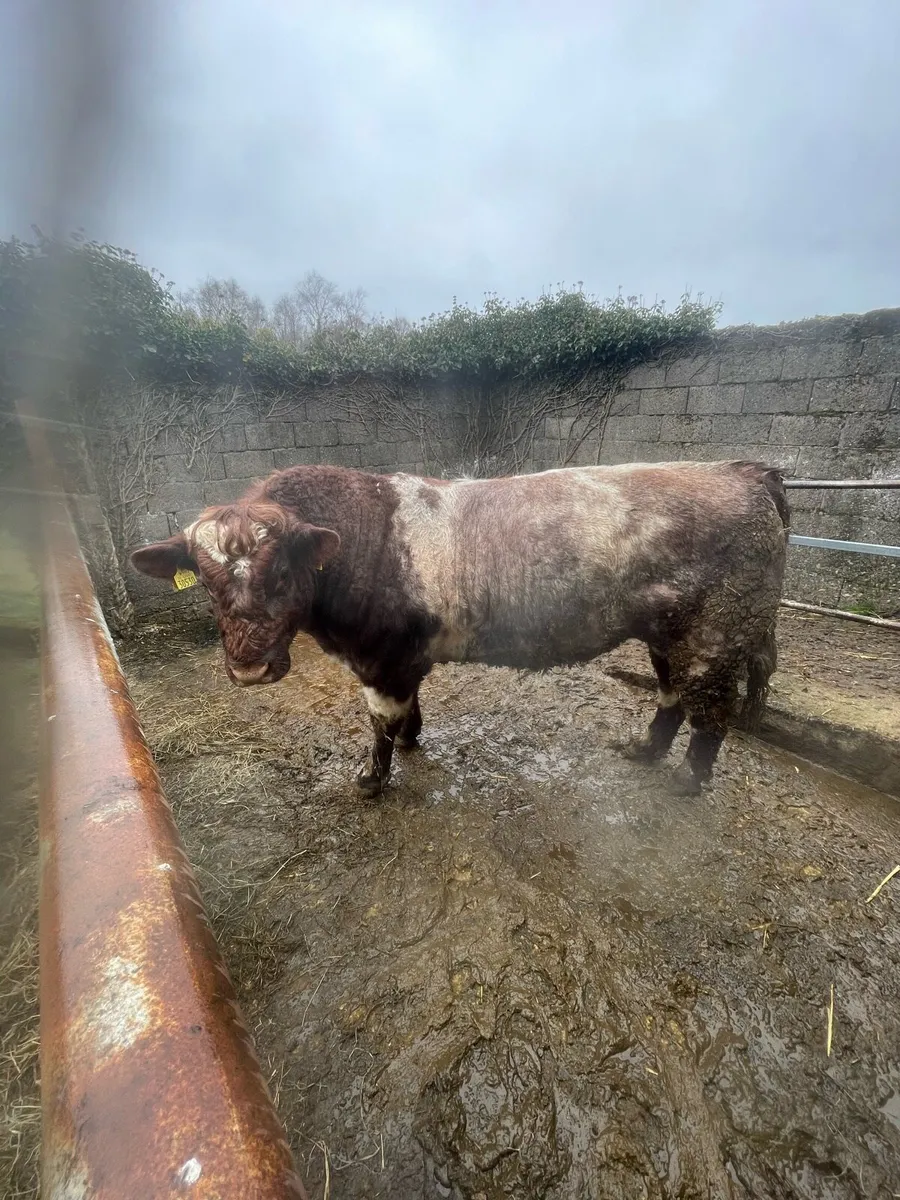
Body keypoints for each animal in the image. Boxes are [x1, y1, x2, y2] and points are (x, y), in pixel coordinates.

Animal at [130, 460, 789, 797]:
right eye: (204, 579)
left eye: (285, 569)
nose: (249, 666)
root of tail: (743, 471)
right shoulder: (403, 658)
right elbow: (408, 710)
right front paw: (413, 741)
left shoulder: (379, 657)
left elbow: (379, 722)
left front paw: (371, 779)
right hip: (666, 634)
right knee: (672, 696)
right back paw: (644, 750)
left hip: (715, 635)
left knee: (712, 713)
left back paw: (686, 780)